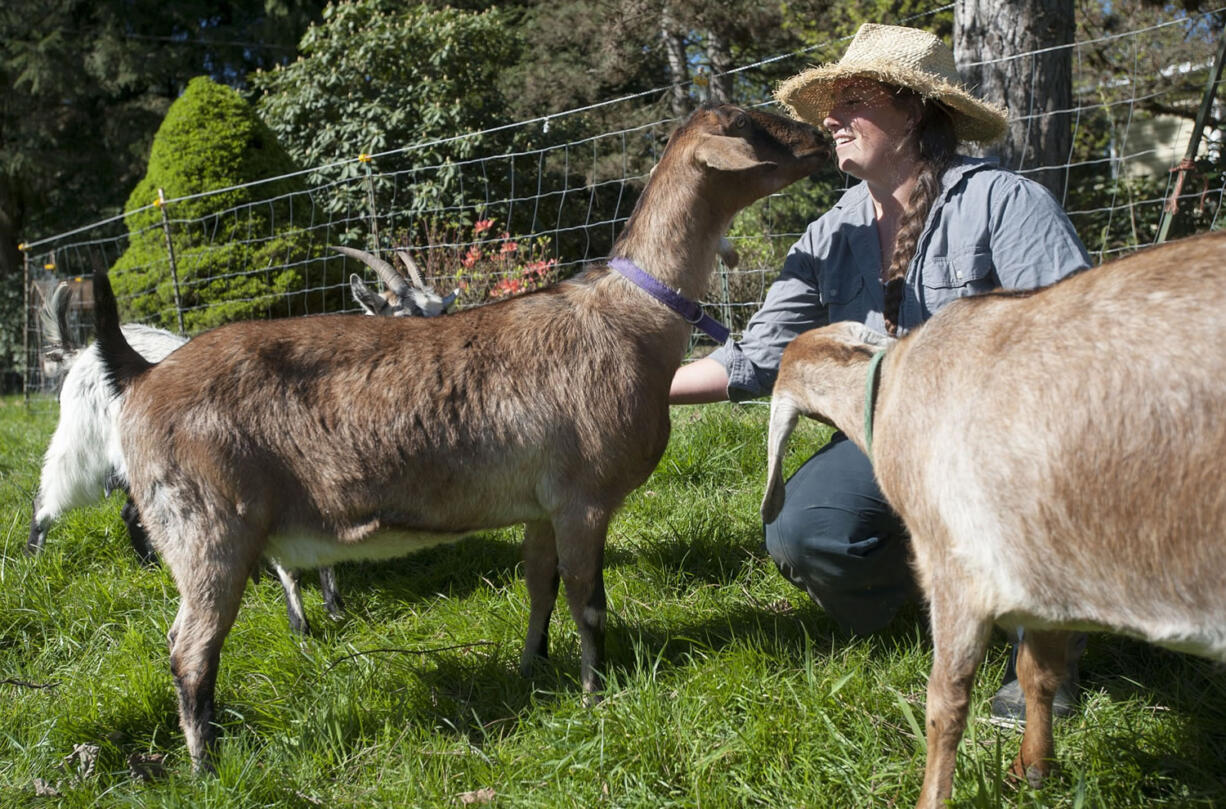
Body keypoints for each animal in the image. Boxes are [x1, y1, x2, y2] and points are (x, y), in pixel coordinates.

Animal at [90, 102, 828, 769]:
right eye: (750, 126)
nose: (821, 138)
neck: (627, 321)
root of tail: (139, 377)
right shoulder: (584, 499)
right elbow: (588, 600)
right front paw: (596, 694)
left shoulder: (542, 504)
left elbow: (540, 587)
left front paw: (534, 668)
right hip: (205, 529)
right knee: (188, 649)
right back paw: (206, 764)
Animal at [760, 229, 1226, 809]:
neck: (888, 390)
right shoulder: (1041, 564)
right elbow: (1037, 672)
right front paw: (1032, 769)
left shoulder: (956, 566)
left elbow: (945, 704)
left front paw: (932, 798)